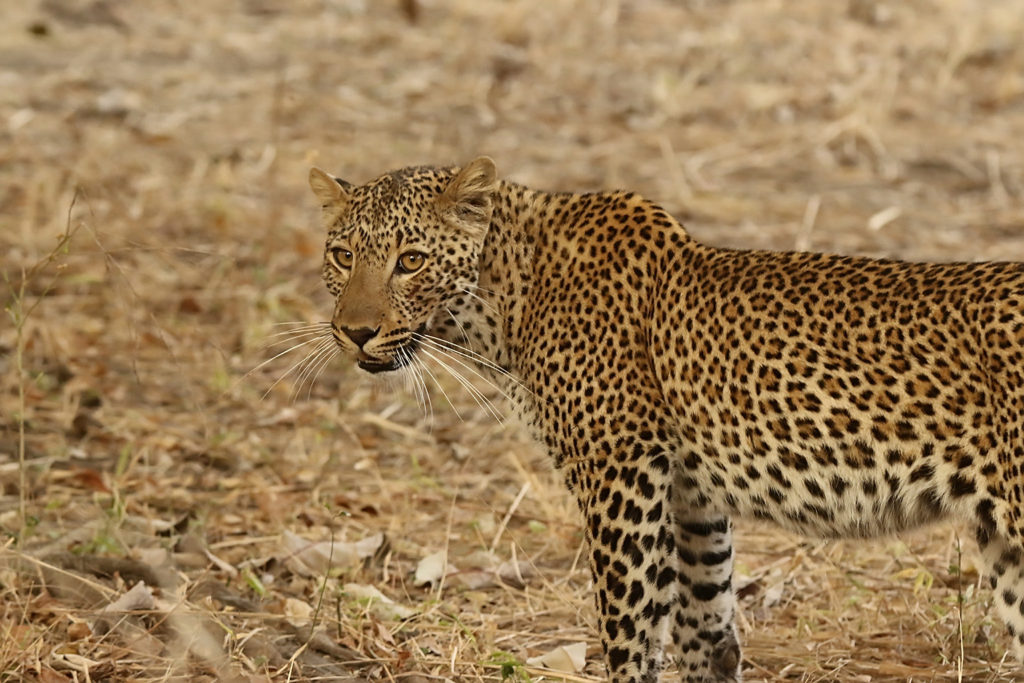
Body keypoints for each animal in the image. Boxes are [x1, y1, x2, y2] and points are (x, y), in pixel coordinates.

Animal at [307, 154, 1024, 683]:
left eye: (411, 260)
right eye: (342, 256)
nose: (356, 332)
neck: (504, 299)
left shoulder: (619, 476)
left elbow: (629, 629)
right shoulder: (689, 493)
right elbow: (707, 630)